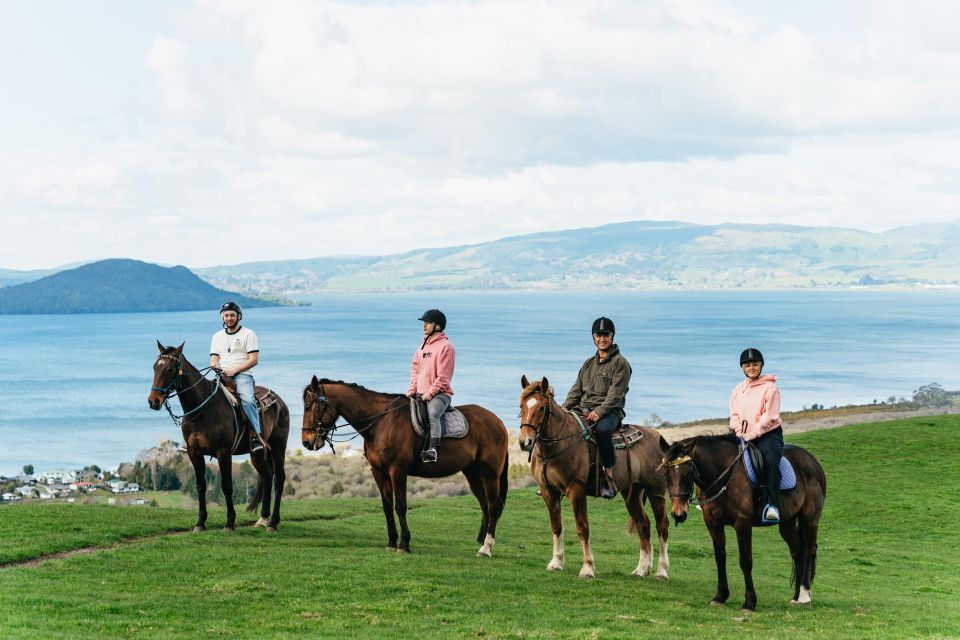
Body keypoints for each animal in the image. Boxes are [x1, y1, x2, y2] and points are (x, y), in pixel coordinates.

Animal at [146, 342, 288, 532]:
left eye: (170, 369)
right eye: (155, 367)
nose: (153, 401)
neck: (202, 411)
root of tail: (279, 401)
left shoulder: (223, 452)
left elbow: (227, 486)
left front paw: (229, 522)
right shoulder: (194, 452)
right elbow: (200, 485)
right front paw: (200, 522)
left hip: (279, 447)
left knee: (278, 479)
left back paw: (272, 522)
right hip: (258, 453)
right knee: (266, 476)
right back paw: (263, 518)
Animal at [300, 376, 510, 556]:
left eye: (309, 407)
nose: (306, 442)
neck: (381, 422)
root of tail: (498, 422)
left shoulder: (397, 471)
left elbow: (400, 506)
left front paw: (404, 544)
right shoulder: (379, 473)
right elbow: (387, 507)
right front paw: (391, 542)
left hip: (490, 474)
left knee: (492, 506)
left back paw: (486, 548)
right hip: (473, 473)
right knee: (485, 505)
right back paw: (483, 541)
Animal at [520, 376, 672, 580]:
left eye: (542, 408)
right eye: (522, 406)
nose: (525, 442)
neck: (559, 444)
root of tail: (658, 438)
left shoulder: (576, 490)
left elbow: (582, 528)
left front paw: (587, 568)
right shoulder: (548, 491)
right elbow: (556, 526)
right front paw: (556, 563)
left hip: (656, 492)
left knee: (662, 526)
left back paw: (662, 571)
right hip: (632, 494)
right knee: (643, 525)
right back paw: (641, 569)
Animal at [660, 436, 824, 608]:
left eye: (688, 473)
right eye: (665, 473)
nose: (678, 513)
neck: (723, 476)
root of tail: (812, 461)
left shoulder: (742, 523)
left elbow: (745, 561)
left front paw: (750, 602)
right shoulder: (713, 523)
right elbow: (720, 558)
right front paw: (720, 596)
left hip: (809, 520)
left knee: (810, 552)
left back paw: (805, 596)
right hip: (787, 523)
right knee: (798, 553)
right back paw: (796, 596)